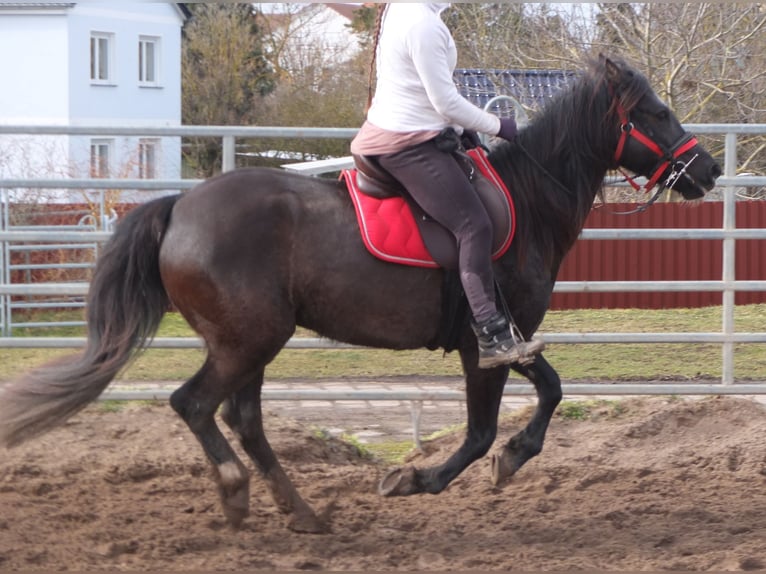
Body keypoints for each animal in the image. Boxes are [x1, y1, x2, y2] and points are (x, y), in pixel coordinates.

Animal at [0, 55, 720, 536]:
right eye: (655, 113)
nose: (708, 168)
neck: (529, 198)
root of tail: (178, 208)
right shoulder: (488, 340)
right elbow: (489, 427)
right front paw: (425, 477)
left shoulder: (511, 337)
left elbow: (546, 393)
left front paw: (503, 461)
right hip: (248, 341)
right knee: (196, 405)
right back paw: (238, 494)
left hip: (250, 343)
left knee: (243, 418)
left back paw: (302, 513)